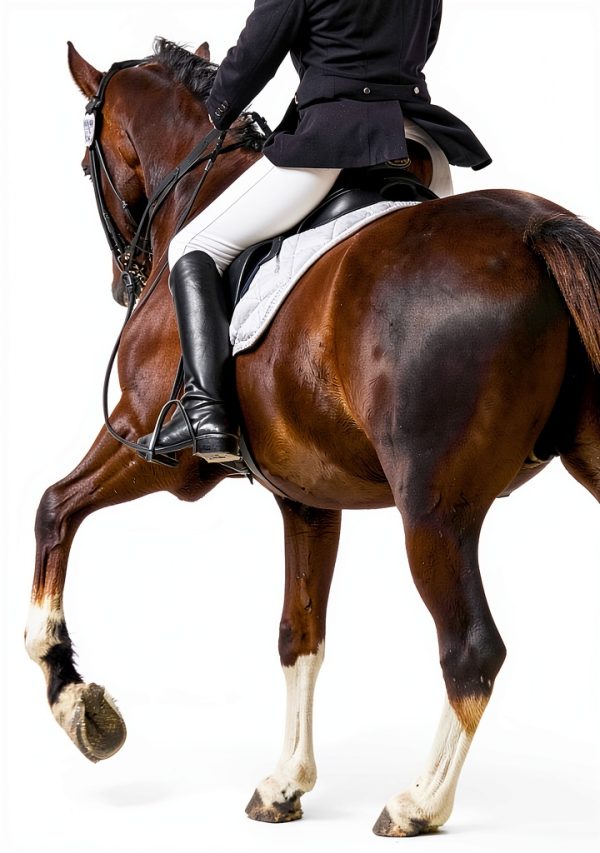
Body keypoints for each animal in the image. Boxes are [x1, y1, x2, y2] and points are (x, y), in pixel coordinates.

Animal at [25, 37, 600, 837]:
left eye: (87, 163)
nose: (122, 280)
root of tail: (539, 229)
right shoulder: (306, 499)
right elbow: (300, 635)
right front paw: (285, 783)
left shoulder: (150, 444)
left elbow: (53, 508)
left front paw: (77, 700)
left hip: (433, 512)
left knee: (471, 649)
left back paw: (418, 803)